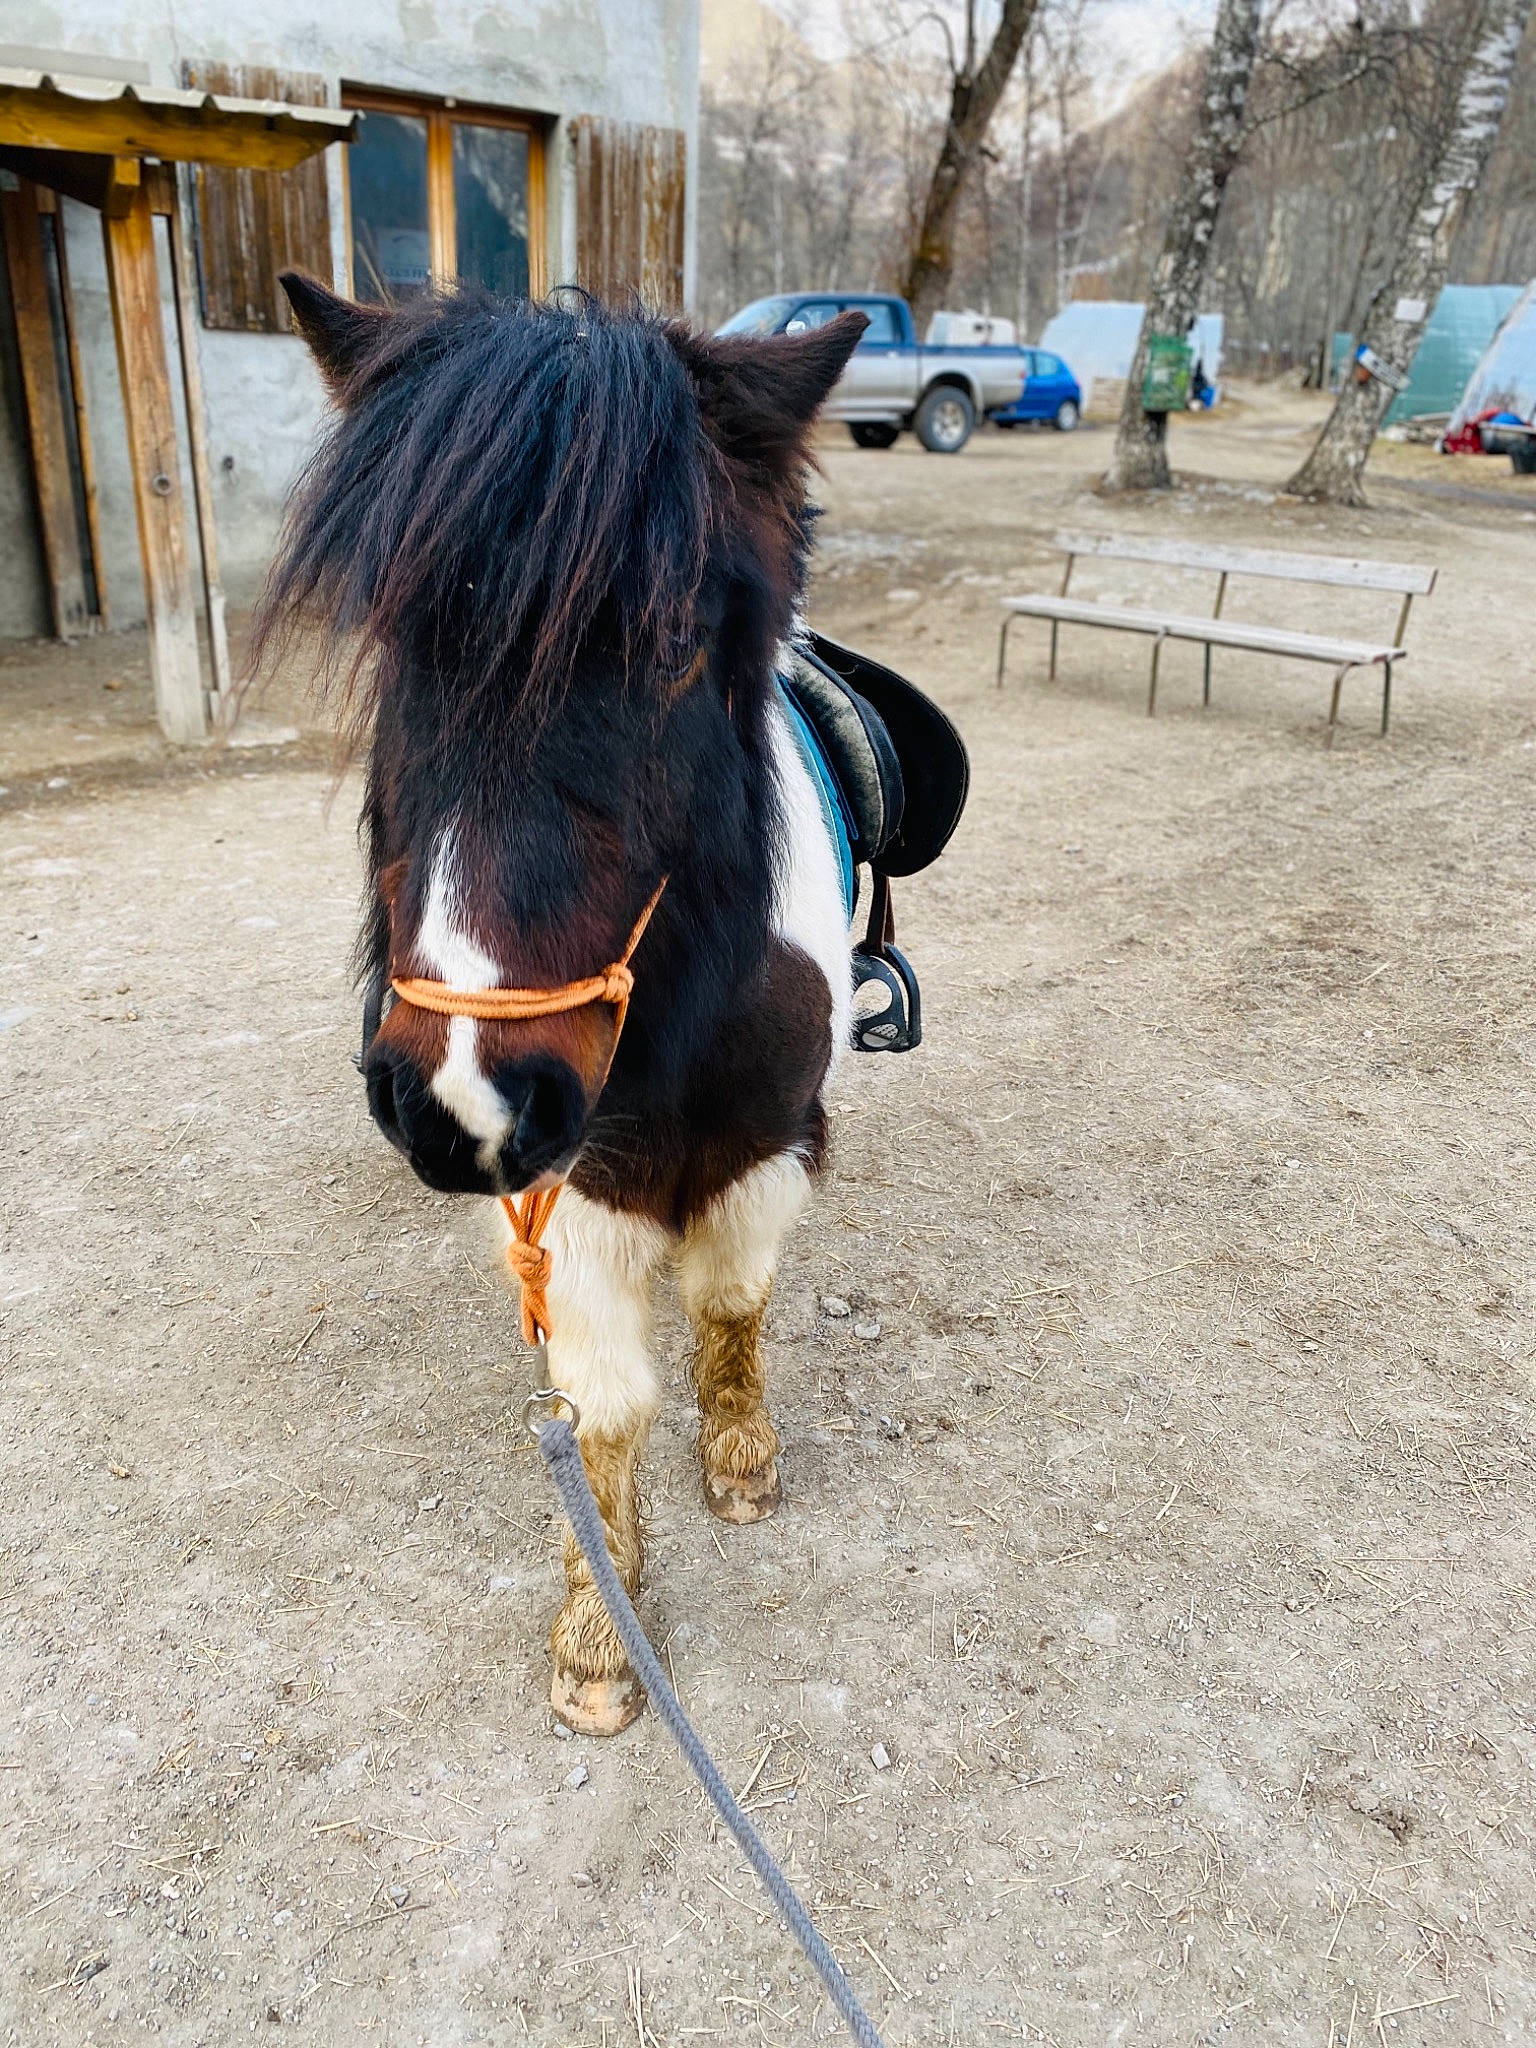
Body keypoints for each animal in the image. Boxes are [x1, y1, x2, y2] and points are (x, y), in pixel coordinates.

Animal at [258, 275, 872, 1735]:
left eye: (676, 646)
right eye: (391, 639)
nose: (465, 1101)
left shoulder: (770, 1139)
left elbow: (731, 1299)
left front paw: (742, 1447)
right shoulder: (572, 1192)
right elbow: (600, 1408)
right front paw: (601, 1630)